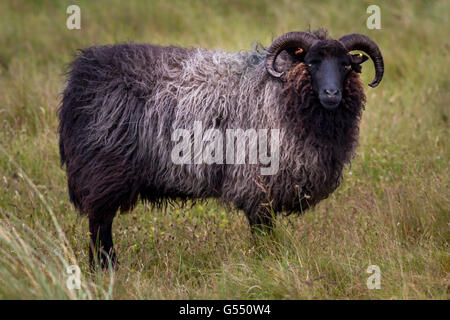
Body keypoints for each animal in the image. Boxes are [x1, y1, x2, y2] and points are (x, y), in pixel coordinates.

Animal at [59, 29, 384, 268]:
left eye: (345, 65)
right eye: (312, 62)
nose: (331, 93)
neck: (282, 94)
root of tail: (82, 76)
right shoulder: (256, 182)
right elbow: (263, 231)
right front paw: (267, 263)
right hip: (102, 170)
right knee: (100, 224)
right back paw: (105, 269)